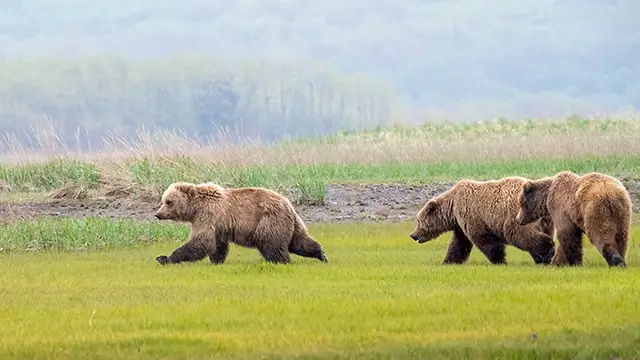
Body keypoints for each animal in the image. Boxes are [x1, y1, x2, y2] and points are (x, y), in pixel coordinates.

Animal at [152, 183, 328, 264]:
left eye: (168, 201)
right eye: (163, 201)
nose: (158, 214)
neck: (195, 208)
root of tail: (289, 204)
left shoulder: (208, 215)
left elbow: (202, 241)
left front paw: (164, 258)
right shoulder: (219, 225)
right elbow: (217, 245)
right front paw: (217, 261)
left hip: (269, 221)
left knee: (272, 246)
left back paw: (281, 261)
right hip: (290, 224)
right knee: (298, 241)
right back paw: (321, 254)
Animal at [410, 176, 556, 266]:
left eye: (418, 221)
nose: (413, 235)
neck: (452, 206)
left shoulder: (471, 214)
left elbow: (484, 239)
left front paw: (499, 260)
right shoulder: (460, 225)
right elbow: (459, 243)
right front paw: (449, 261)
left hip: (517, 216)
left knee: (521, 234)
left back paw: (547, 251)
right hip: (545, 221)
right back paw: (541, 258)